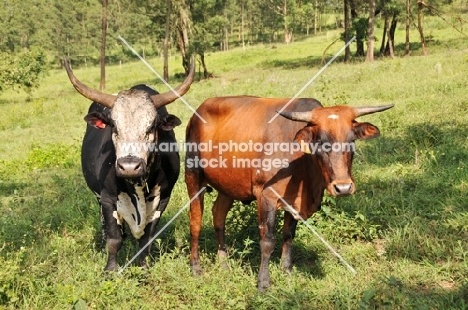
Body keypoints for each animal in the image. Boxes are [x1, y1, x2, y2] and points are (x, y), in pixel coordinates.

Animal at [64, 58, 194, 272]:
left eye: (151, 126)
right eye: (114, 126)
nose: (130, 166)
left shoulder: (162, 199)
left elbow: (146, 241)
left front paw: (144, 269)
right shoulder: (108, 199)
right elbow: (114, 240)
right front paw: (110, 270)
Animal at [185, 95, 394, 290]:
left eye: (351, 140)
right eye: (321, 142)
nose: (343, 187)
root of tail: (198, 112)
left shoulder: (294, 201)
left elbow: (288, 234)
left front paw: (286, 270)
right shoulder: (266, 196)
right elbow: (268, 240)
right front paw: (263, 282)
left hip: (228, 186)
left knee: (218, 216)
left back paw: (224, 264)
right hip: (193, 176)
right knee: (195, 221)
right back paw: (195, 267)